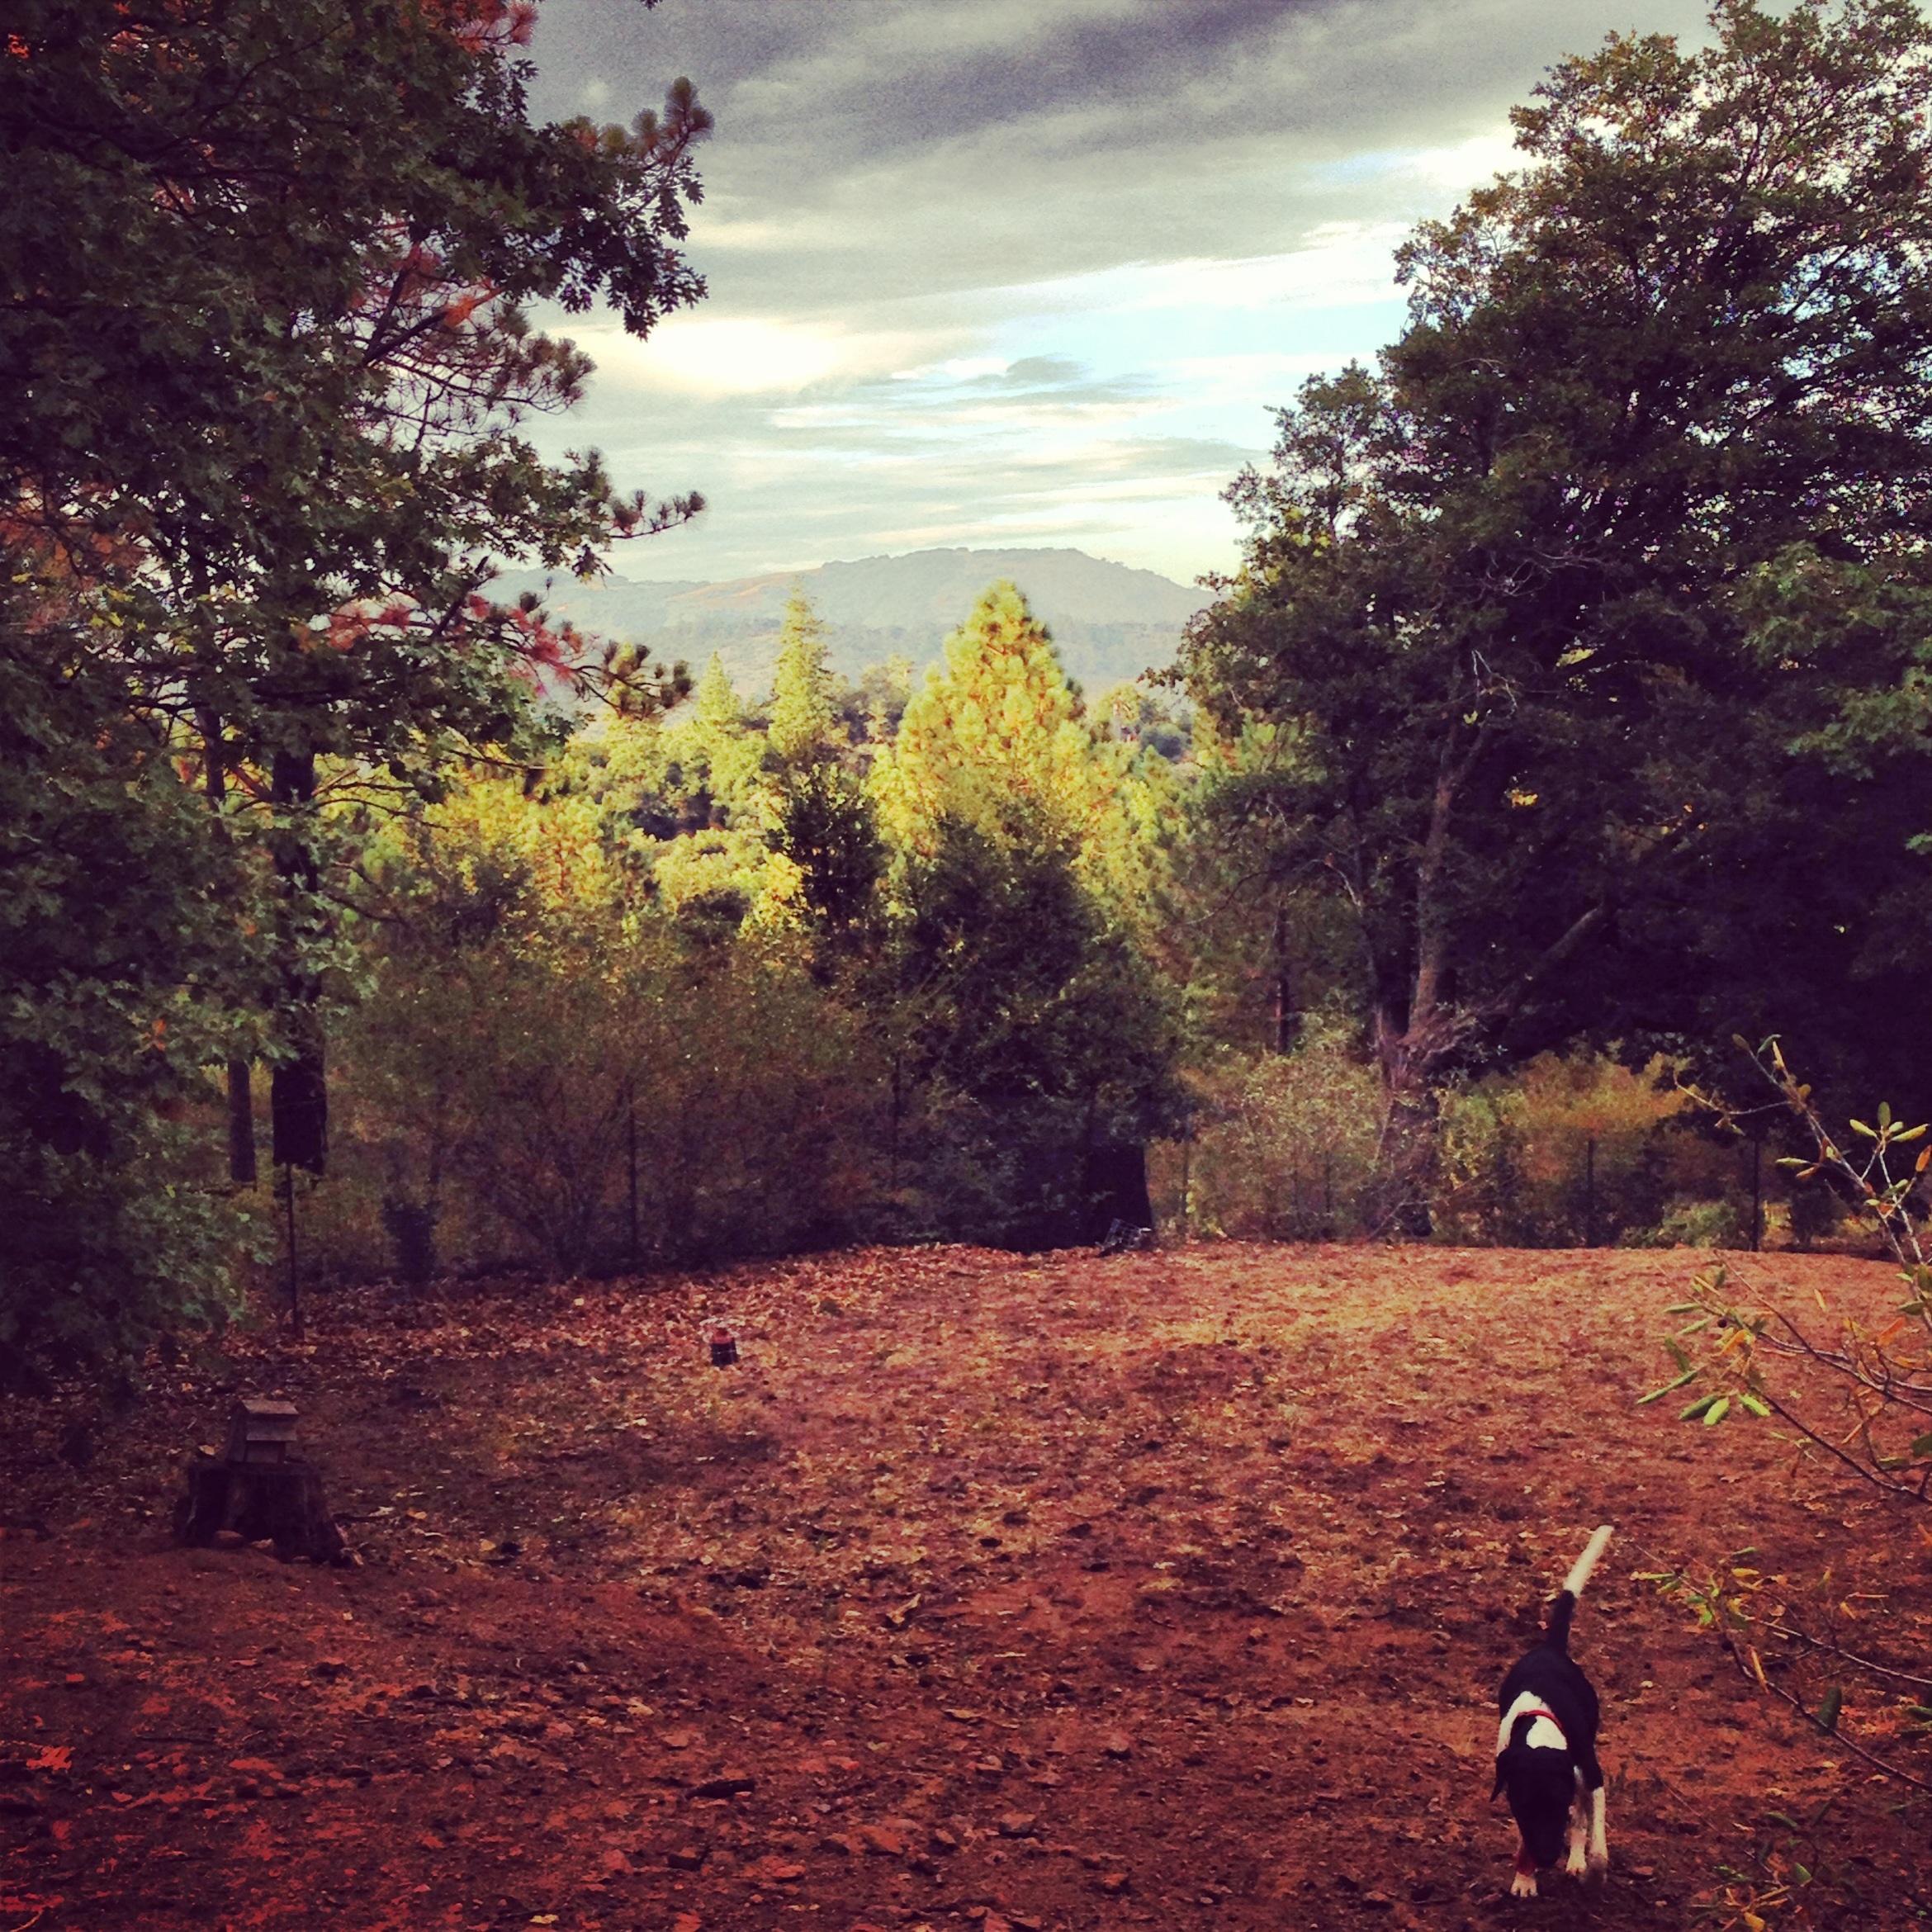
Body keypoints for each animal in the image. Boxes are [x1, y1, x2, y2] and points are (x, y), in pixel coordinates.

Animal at [1491, 1530, 1615, 1893]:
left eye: (1557, 1804)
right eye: (1523, 1809)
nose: (1546, 1858)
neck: (1541, 1731)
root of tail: (1550, 1648)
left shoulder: (1591, 1776)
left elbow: (1591, 1832)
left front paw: (1591, 1870)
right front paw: (1524, 1876)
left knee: (1583, 1817)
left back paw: (1577, 1861)